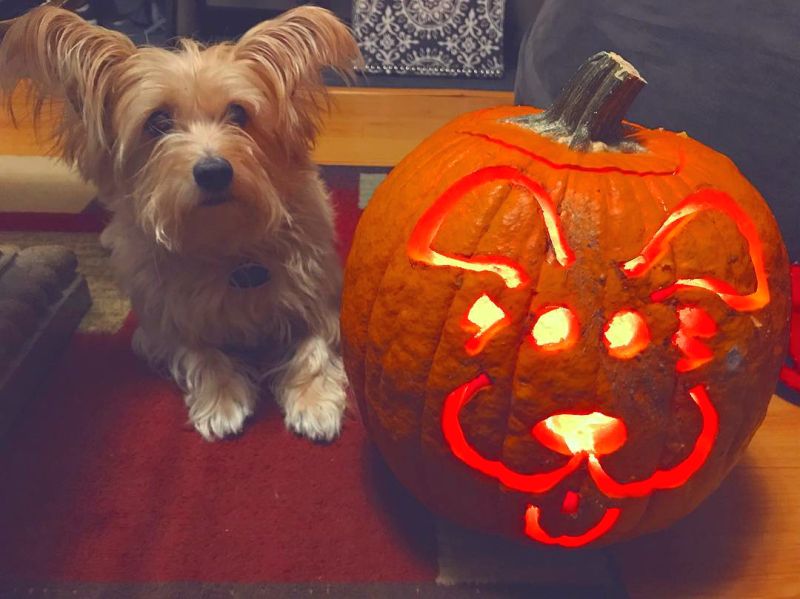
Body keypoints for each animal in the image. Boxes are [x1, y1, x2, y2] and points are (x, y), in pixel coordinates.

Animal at [0, 4, 362, 440]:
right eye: (157, 122)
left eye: (238, 113)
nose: (213, 172)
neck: (225, 241)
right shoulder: (159, 328)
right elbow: (199, 352)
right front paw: (222, 396)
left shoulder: (321, 299)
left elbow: (315, 345)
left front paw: (314, 401)